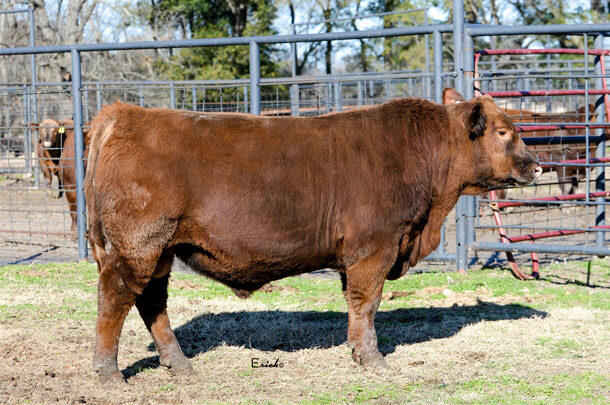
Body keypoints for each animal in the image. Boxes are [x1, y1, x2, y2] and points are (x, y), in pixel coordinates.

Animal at [84, 88, 536, 382]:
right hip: (137, 245)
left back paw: (179, 366)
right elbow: (368, 303)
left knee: (151, 303)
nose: (537, 166)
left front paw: (357, 352)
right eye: (502, 132)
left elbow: (356, 304)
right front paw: (372, 359)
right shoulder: (376, 248)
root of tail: (124, 115)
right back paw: (109, 374)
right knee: (115, 297)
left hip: (160, 250)